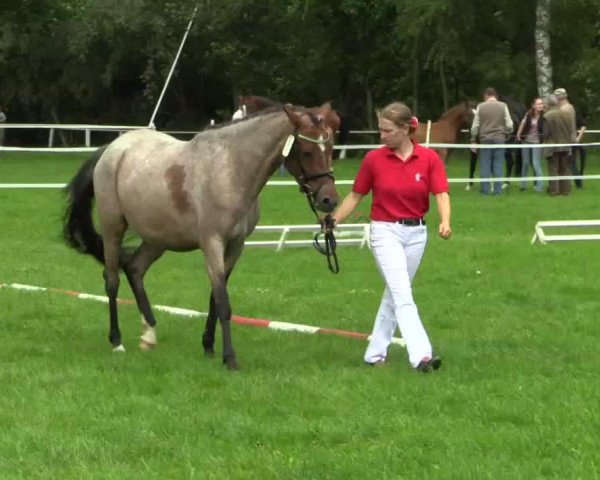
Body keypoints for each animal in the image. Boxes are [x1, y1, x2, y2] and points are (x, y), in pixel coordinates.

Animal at [64, 103, 342, 370]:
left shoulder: (235, 246)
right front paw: (230, 358)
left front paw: (209, 346)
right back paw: (117, 341)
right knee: (112, 280)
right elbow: (223, 302)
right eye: (306, 151)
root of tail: (111, 150)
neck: (232, 169)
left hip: (157, 239)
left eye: (330, 149)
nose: (329, 200)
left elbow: (214, 299)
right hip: (113, 229)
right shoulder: (212, 243)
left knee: (134, 269)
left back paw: (149, 334)